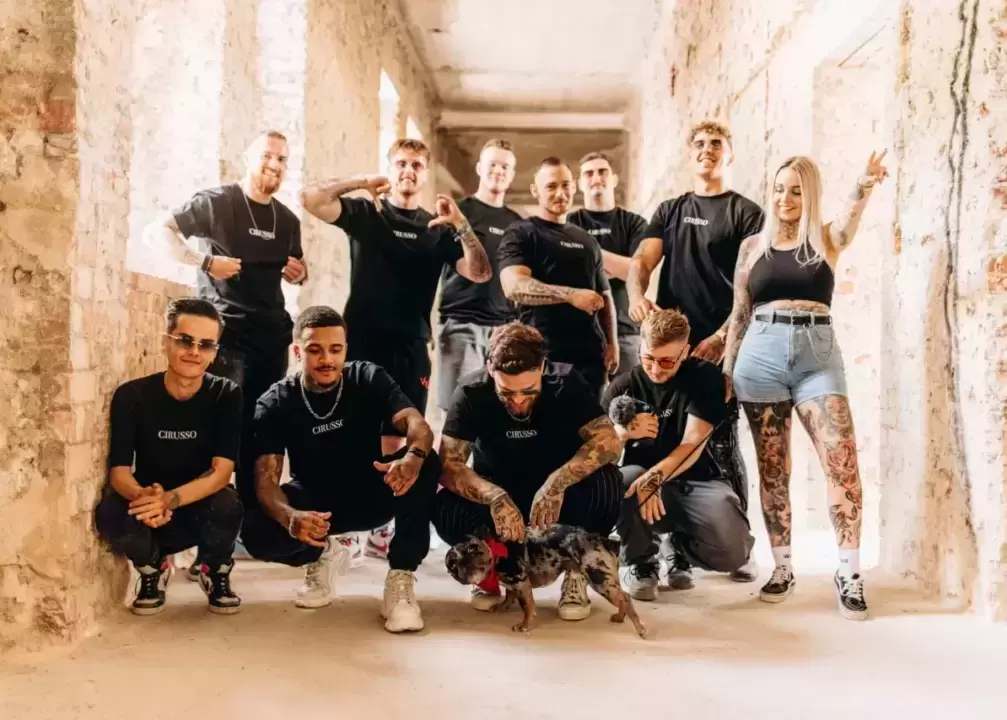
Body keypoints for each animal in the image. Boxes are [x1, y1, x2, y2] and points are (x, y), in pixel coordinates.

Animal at [445, 524, 648, 638]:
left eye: (472, 548)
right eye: (452, 564)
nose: (465, 563)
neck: (496, 551)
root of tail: (603, 540)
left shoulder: (520, 582)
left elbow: (527, 607)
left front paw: (525, 625)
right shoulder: (513, 583)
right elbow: (508, 596)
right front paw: (501, 607)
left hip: (600, 580)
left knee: (626, 599)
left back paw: (640, 629)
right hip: (608, 581)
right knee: (623, 598)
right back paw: (620, 617)